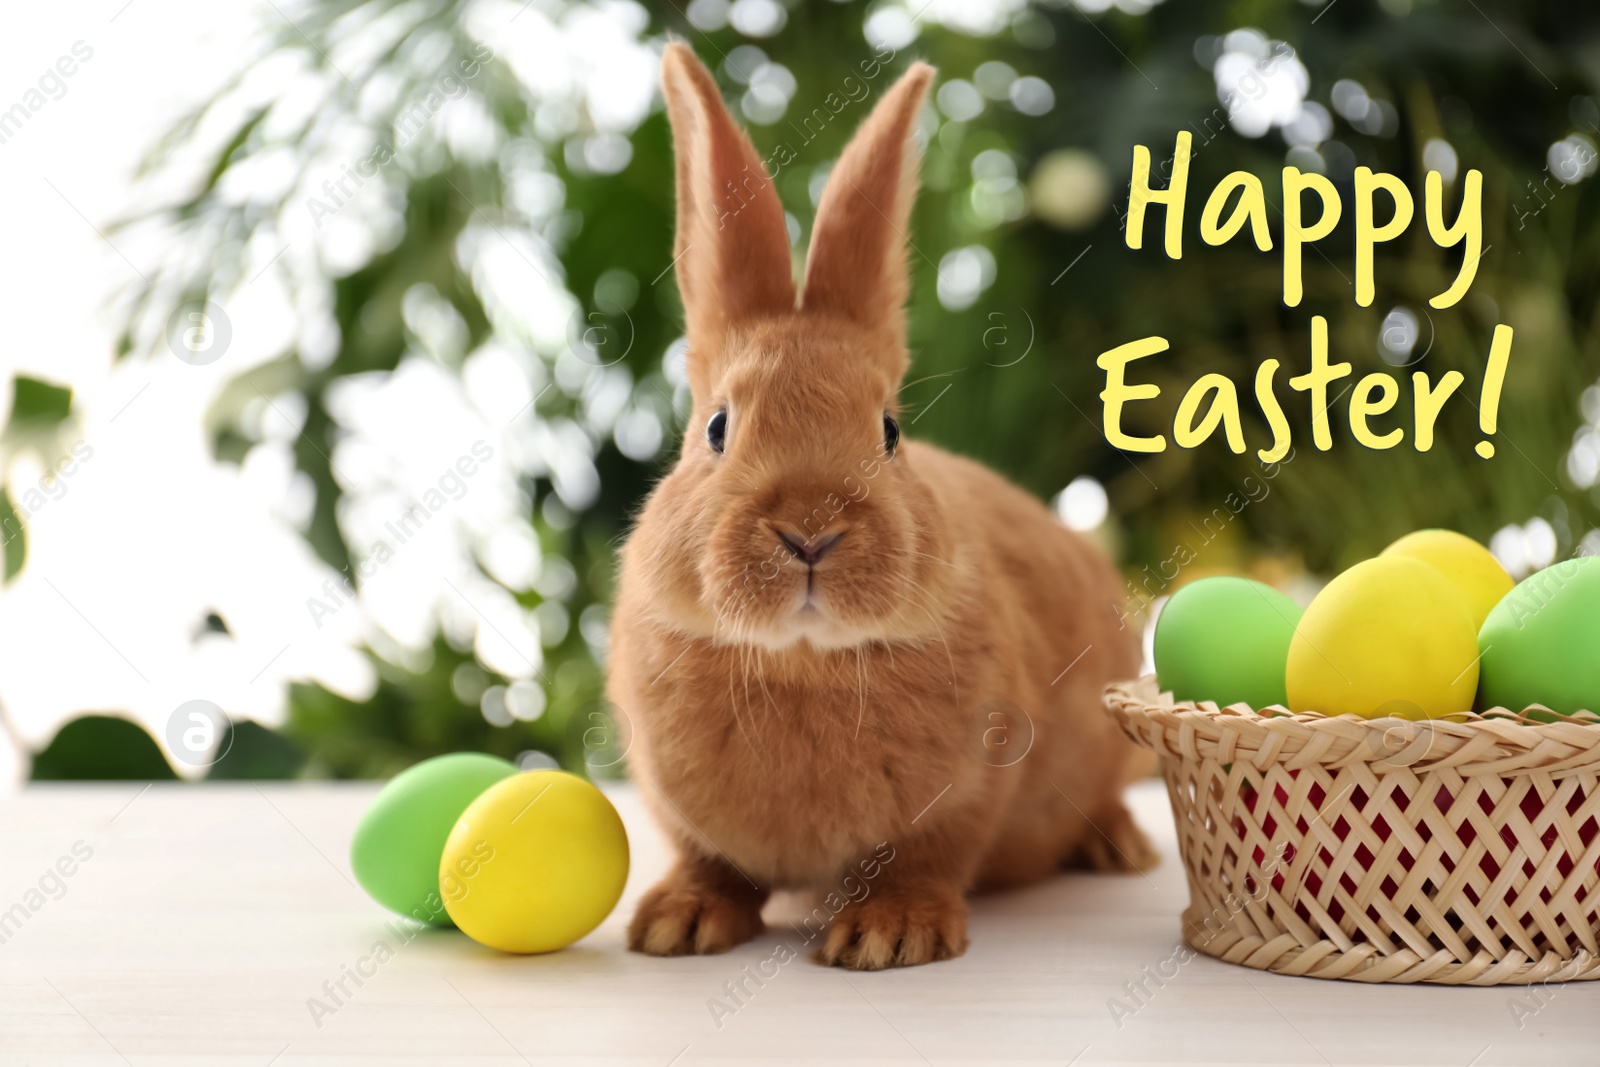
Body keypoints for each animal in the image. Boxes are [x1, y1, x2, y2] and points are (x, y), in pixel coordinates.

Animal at [604, 45, 1158, 972]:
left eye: (890, 431)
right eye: (717, 427)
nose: (810, 532)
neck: (802, 663)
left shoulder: (970, 790)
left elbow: (927, 858)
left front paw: (888, 936)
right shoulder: (675, 805)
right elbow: (706, 860)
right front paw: (676, 924)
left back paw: (1122, 848)